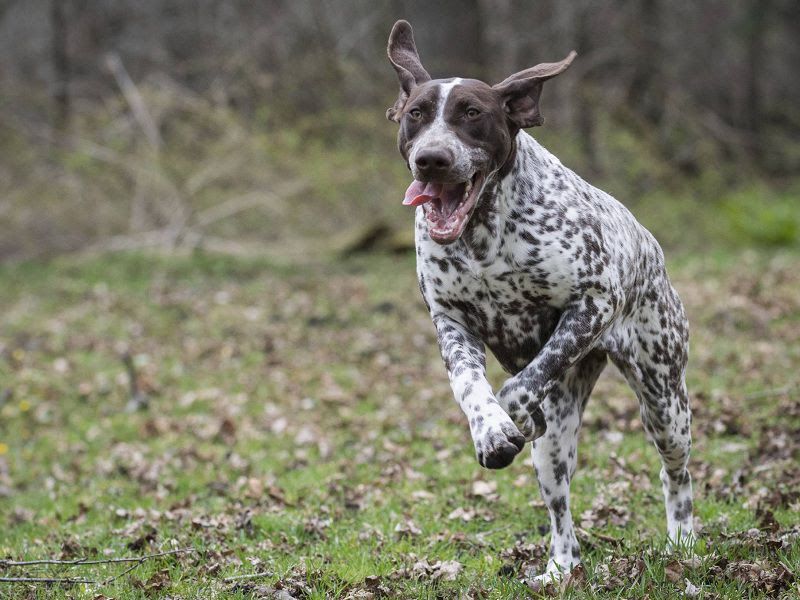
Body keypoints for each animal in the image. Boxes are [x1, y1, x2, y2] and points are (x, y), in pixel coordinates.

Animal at [384, 22, 692, 580]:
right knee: (560, 506)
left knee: (674, 474)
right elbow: (471, 386)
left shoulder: (592, 305)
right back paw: (561, 566)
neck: (483, 235)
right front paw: (490, 428)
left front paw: (511, 415)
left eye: (472, 113)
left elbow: (525, 380)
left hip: (664, 401)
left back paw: (683, 543)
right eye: (416, 113)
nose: (432, 159)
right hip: (555, 452)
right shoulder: (452, 324)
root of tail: (651, 248)